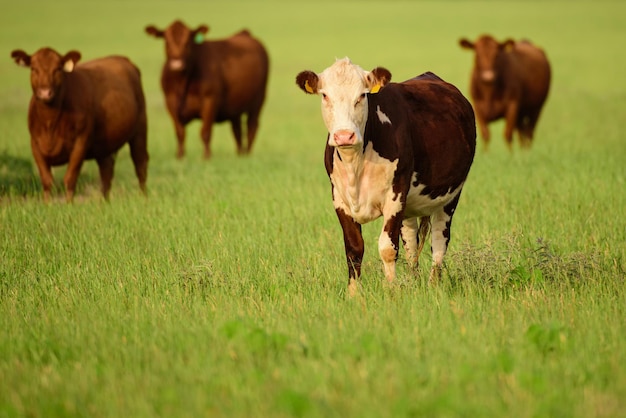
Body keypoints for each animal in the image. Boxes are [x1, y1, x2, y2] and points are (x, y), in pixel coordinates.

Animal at [10, 47, 149, 202]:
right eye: (34, 69)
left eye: (58, 69)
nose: (45, 92)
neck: (50, 123)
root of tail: (121, 58)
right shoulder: (35, 144)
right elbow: (47, 181)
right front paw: (47, 205)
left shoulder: (81, 142)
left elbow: (70, 178)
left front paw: (69, 205)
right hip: (104, 145)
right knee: (107, 172)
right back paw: (104, 202)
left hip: (140, 130)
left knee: (140, 164)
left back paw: (144, 199)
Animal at [145, 20, 270, 159]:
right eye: (166, 40)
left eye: (188, 40)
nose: (177, 63)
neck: (182, 81)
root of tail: (244, 34)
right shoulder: (170, 102)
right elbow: (180, 132)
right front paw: (180, 156)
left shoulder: (210, 100)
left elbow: (205, 131)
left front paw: (206, 157)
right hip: (235, 107)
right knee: (237, 130)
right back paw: (240, 155)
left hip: (257, 102)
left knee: (251, 127)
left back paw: (248, 155)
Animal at [294, 58, 476, 294]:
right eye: (324, 95)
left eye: (362, 95)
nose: (344, 135)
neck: (355, 164)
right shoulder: (339, 199)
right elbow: (354, 249)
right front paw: (354, 294)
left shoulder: (395, 196)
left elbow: (387, 248)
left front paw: (391, 291)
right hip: (410, 206)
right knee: (411, 243)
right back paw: (414, 281)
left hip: (450, 196)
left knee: (439, 242)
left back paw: (433, 285)